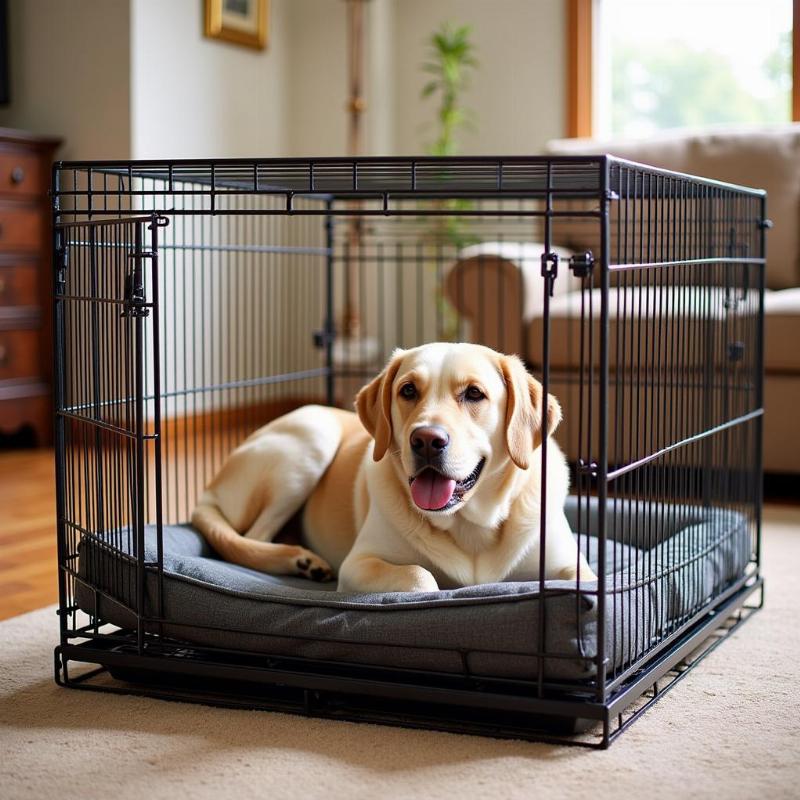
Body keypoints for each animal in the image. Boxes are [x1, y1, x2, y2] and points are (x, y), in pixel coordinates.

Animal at [192, 340, 592, 592]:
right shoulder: (358, 564)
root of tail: (208, 489)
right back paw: (302, 561)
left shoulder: (574, 568)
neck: (469, 526)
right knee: (253, 538)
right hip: (312, 438)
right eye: (408, 390)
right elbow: (421, 577)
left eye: (474, 394)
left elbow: (583, 580)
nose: (427, 440)